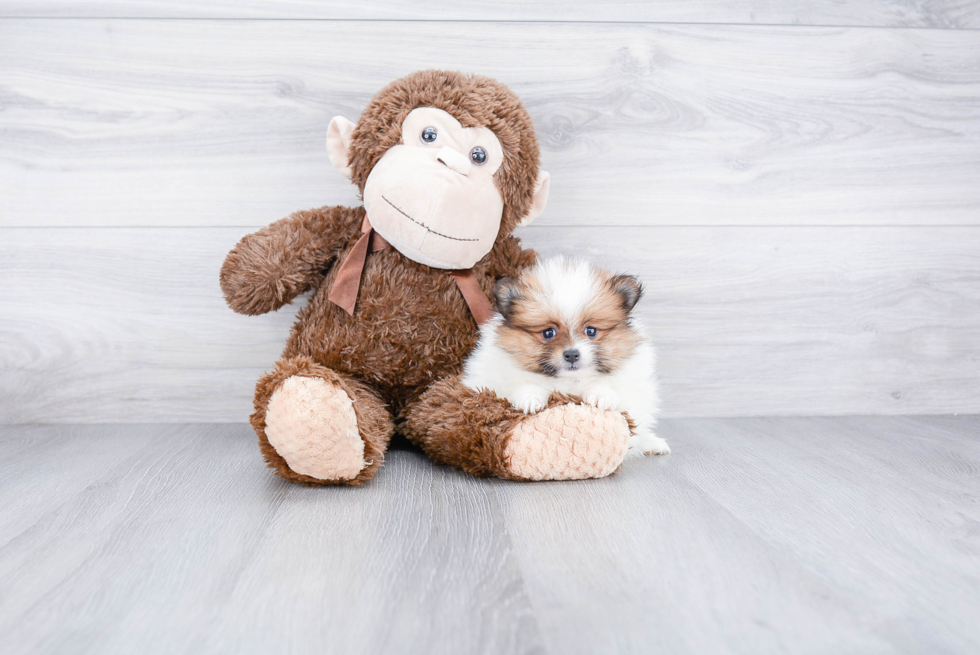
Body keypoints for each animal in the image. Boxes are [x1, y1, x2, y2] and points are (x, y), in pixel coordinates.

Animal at [466, 255, 668, 456]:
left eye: (591, 331)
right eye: (548, 333)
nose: (571, 354)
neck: (569, 381)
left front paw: (601, 396)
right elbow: (522, 385)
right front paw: (530, 398)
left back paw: (653, 444)